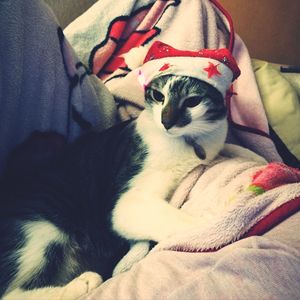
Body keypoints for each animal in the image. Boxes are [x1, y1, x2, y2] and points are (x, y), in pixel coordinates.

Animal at [0, 74, 227, 300]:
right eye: (158, 96)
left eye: (192, 101)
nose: (167, 121)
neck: (187, 143)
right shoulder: (128, 203)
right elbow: (183, 222)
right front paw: (211, 225)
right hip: (40, 229)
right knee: (10, 293)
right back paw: (82, 283)